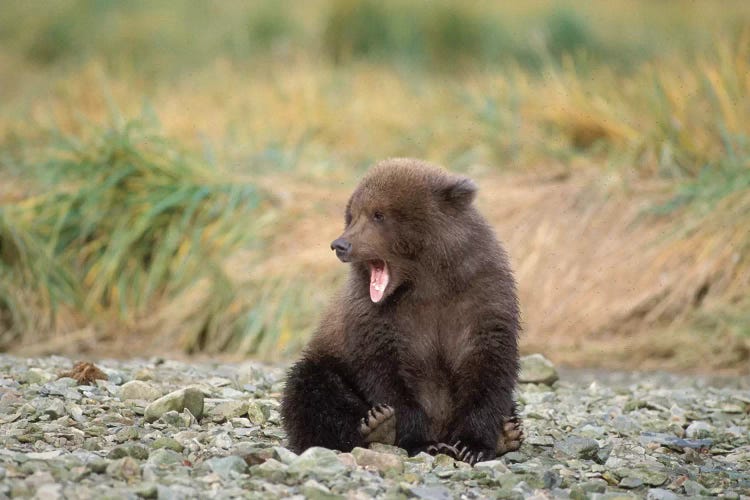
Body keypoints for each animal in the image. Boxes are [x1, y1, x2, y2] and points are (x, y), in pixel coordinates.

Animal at [282, 157, 524, 464]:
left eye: (378, 214)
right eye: (352, 214)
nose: (341, 244)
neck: (425, 281)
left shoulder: (479, 294)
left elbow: (488, 364)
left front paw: (473, 445)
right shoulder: (376, 315)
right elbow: (386, 373)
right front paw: (418, 439)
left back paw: (508, 431)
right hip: (328, 363)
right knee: (311, 389)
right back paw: (378, 426)